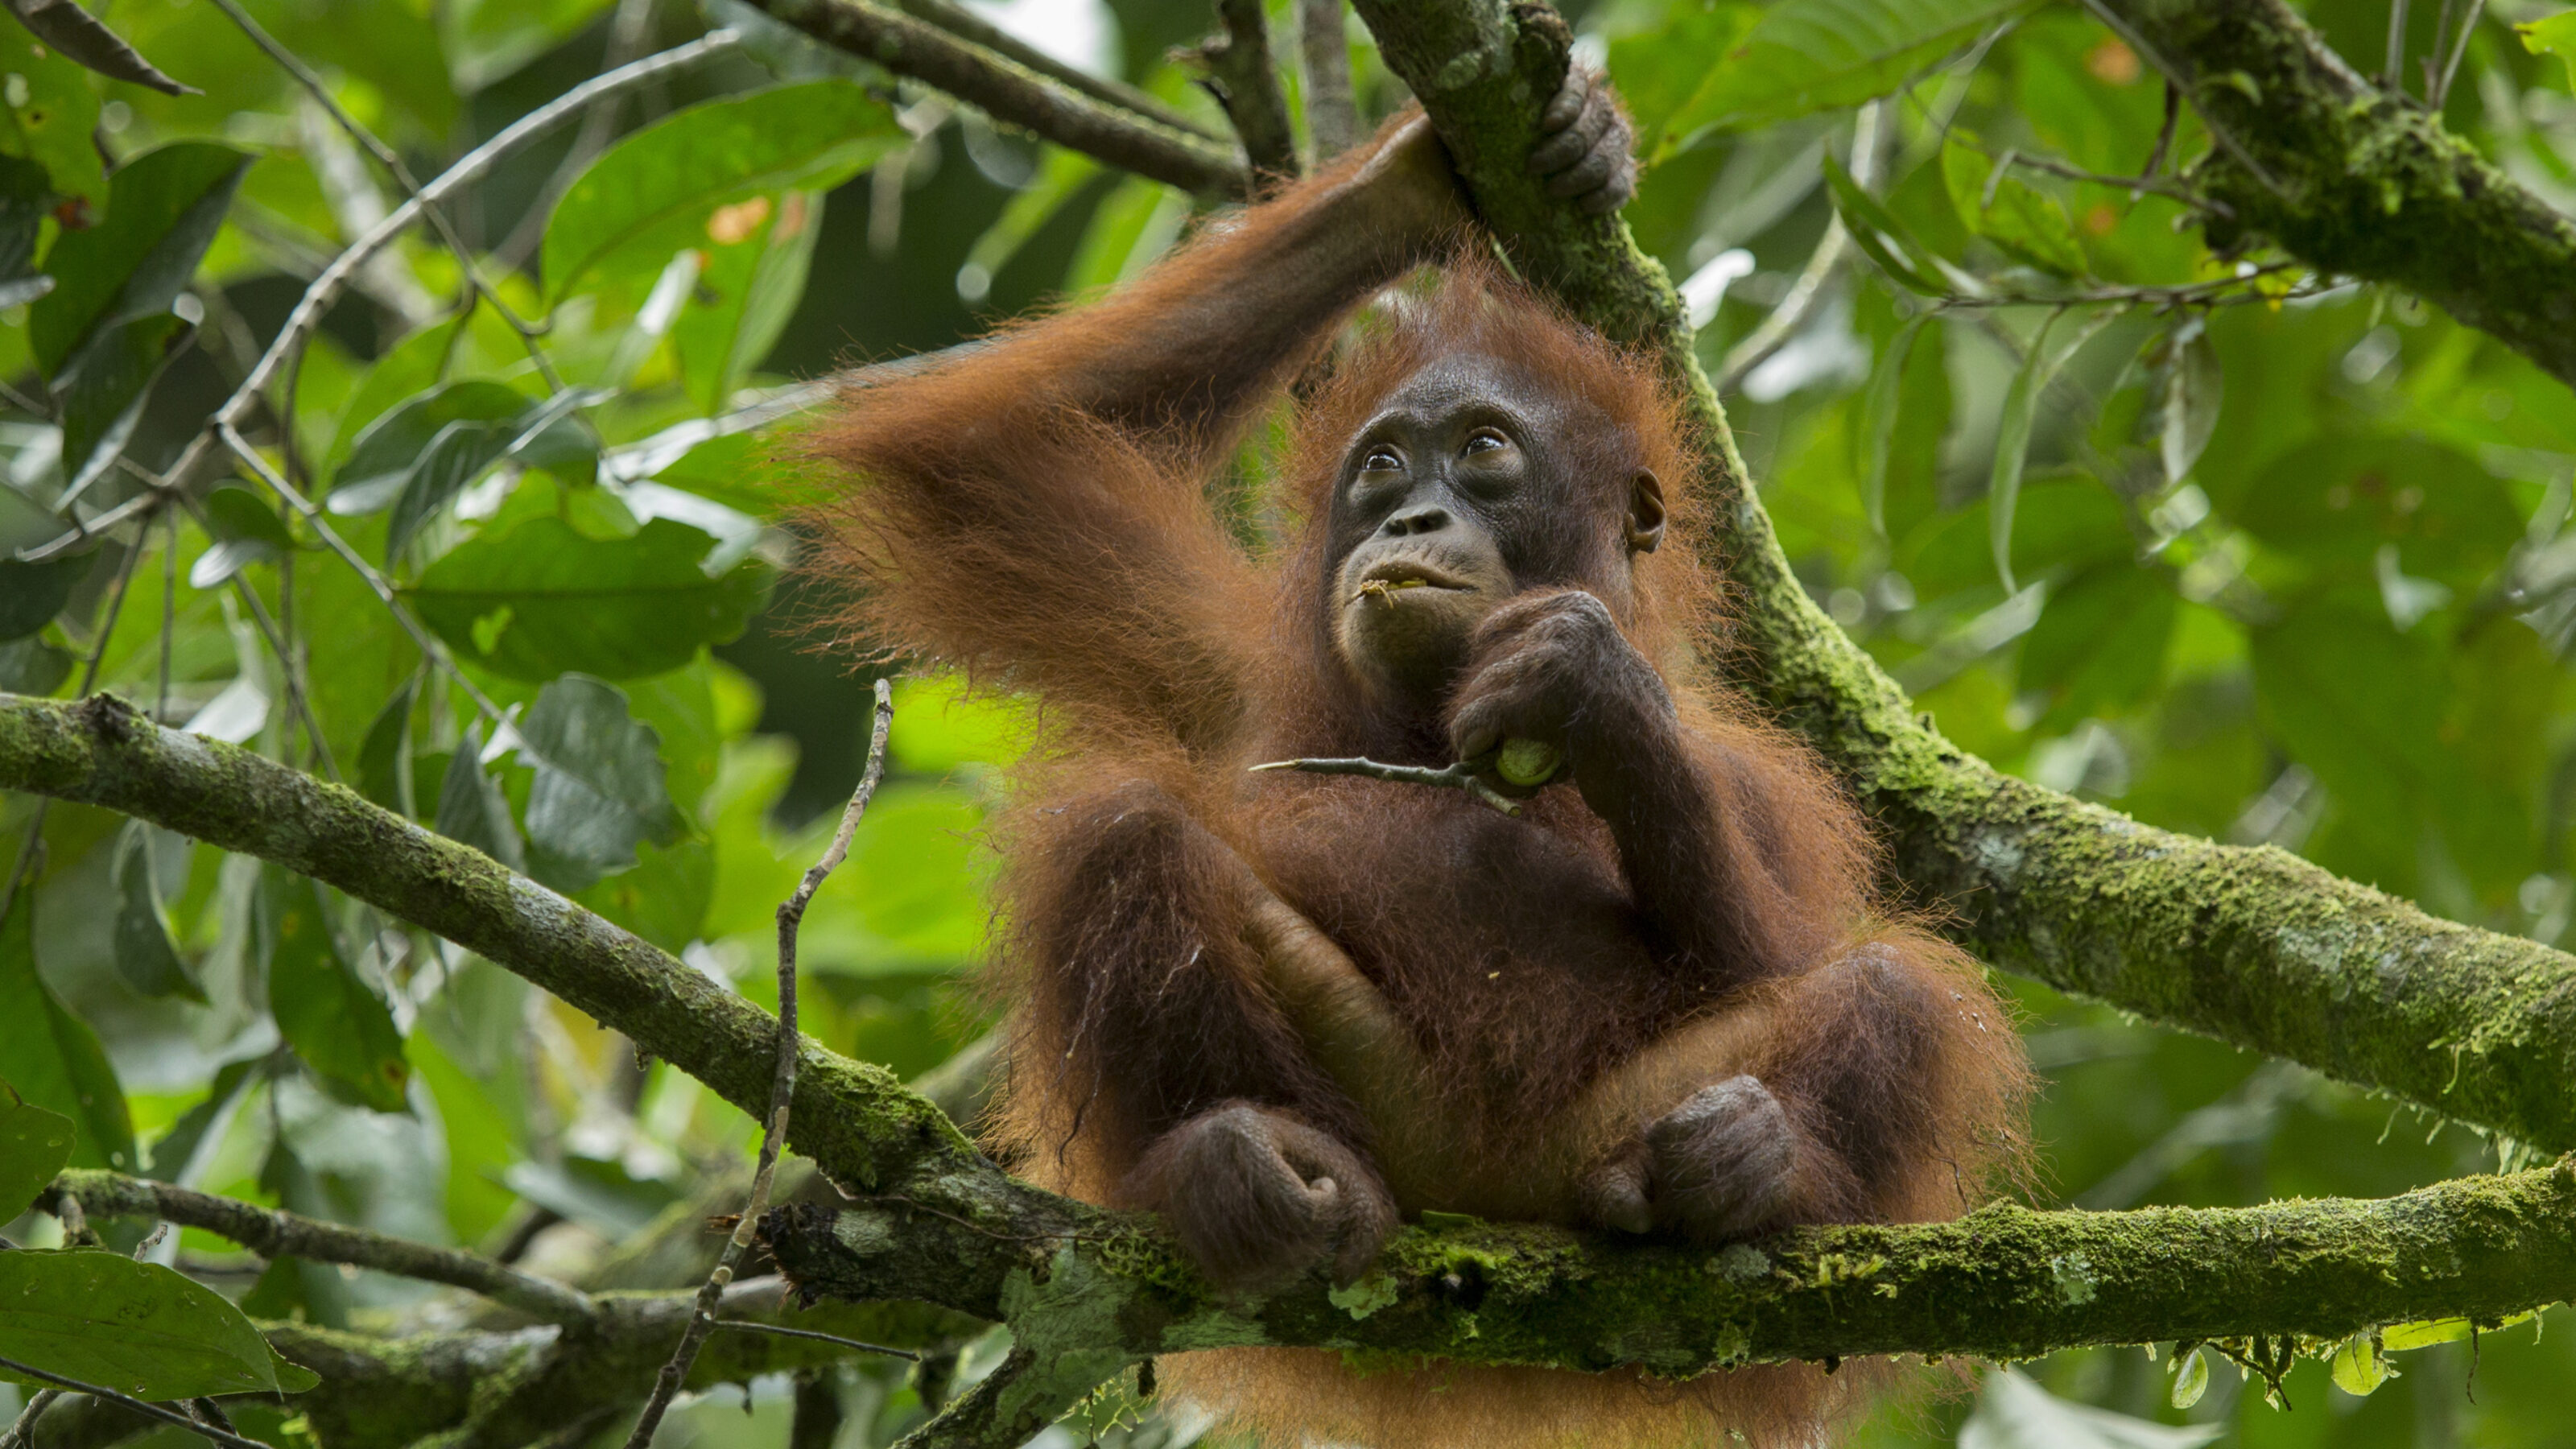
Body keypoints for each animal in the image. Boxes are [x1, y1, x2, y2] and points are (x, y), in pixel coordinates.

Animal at [810, 65, 2029, 1449]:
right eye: (1383, 464)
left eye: (1487, 452)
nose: (1410, 519)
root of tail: (1480, 1214)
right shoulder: (1220, 664)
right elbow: (982, 459)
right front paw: (1425, 171)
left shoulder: (1771, 777)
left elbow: (1774, 947)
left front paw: (1592, 687)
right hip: (1383, 1104)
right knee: (1123, 825)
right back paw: (1248, 1170)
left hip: (1594, 1135)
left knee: (1898, 986)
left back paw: (1740, 1174)